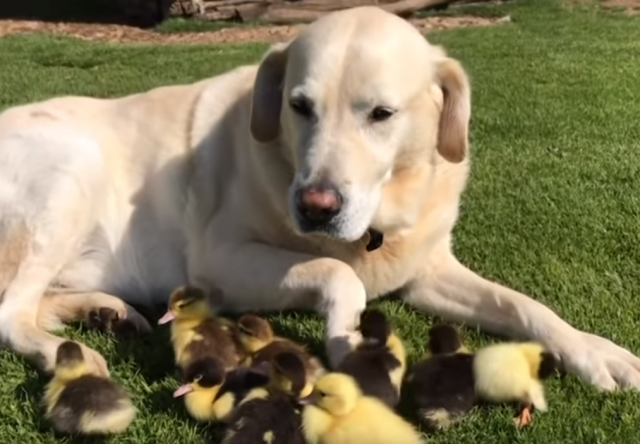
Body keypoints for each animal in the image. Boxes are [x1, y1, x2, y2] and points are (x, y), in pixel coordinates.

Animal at [0, 6, 638, 391]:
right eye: (299, 106)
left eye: (381, 113)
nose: (315, 206)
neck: (379, 224)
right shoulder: (221, 261)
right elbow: (338, 271)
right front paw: (346, 336)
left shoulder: (426, 271)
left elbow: (524, 306)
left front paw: (594, 351)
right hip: (71, 167)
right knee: (11, 312)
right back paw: (62, 350)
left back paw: (104, 311)